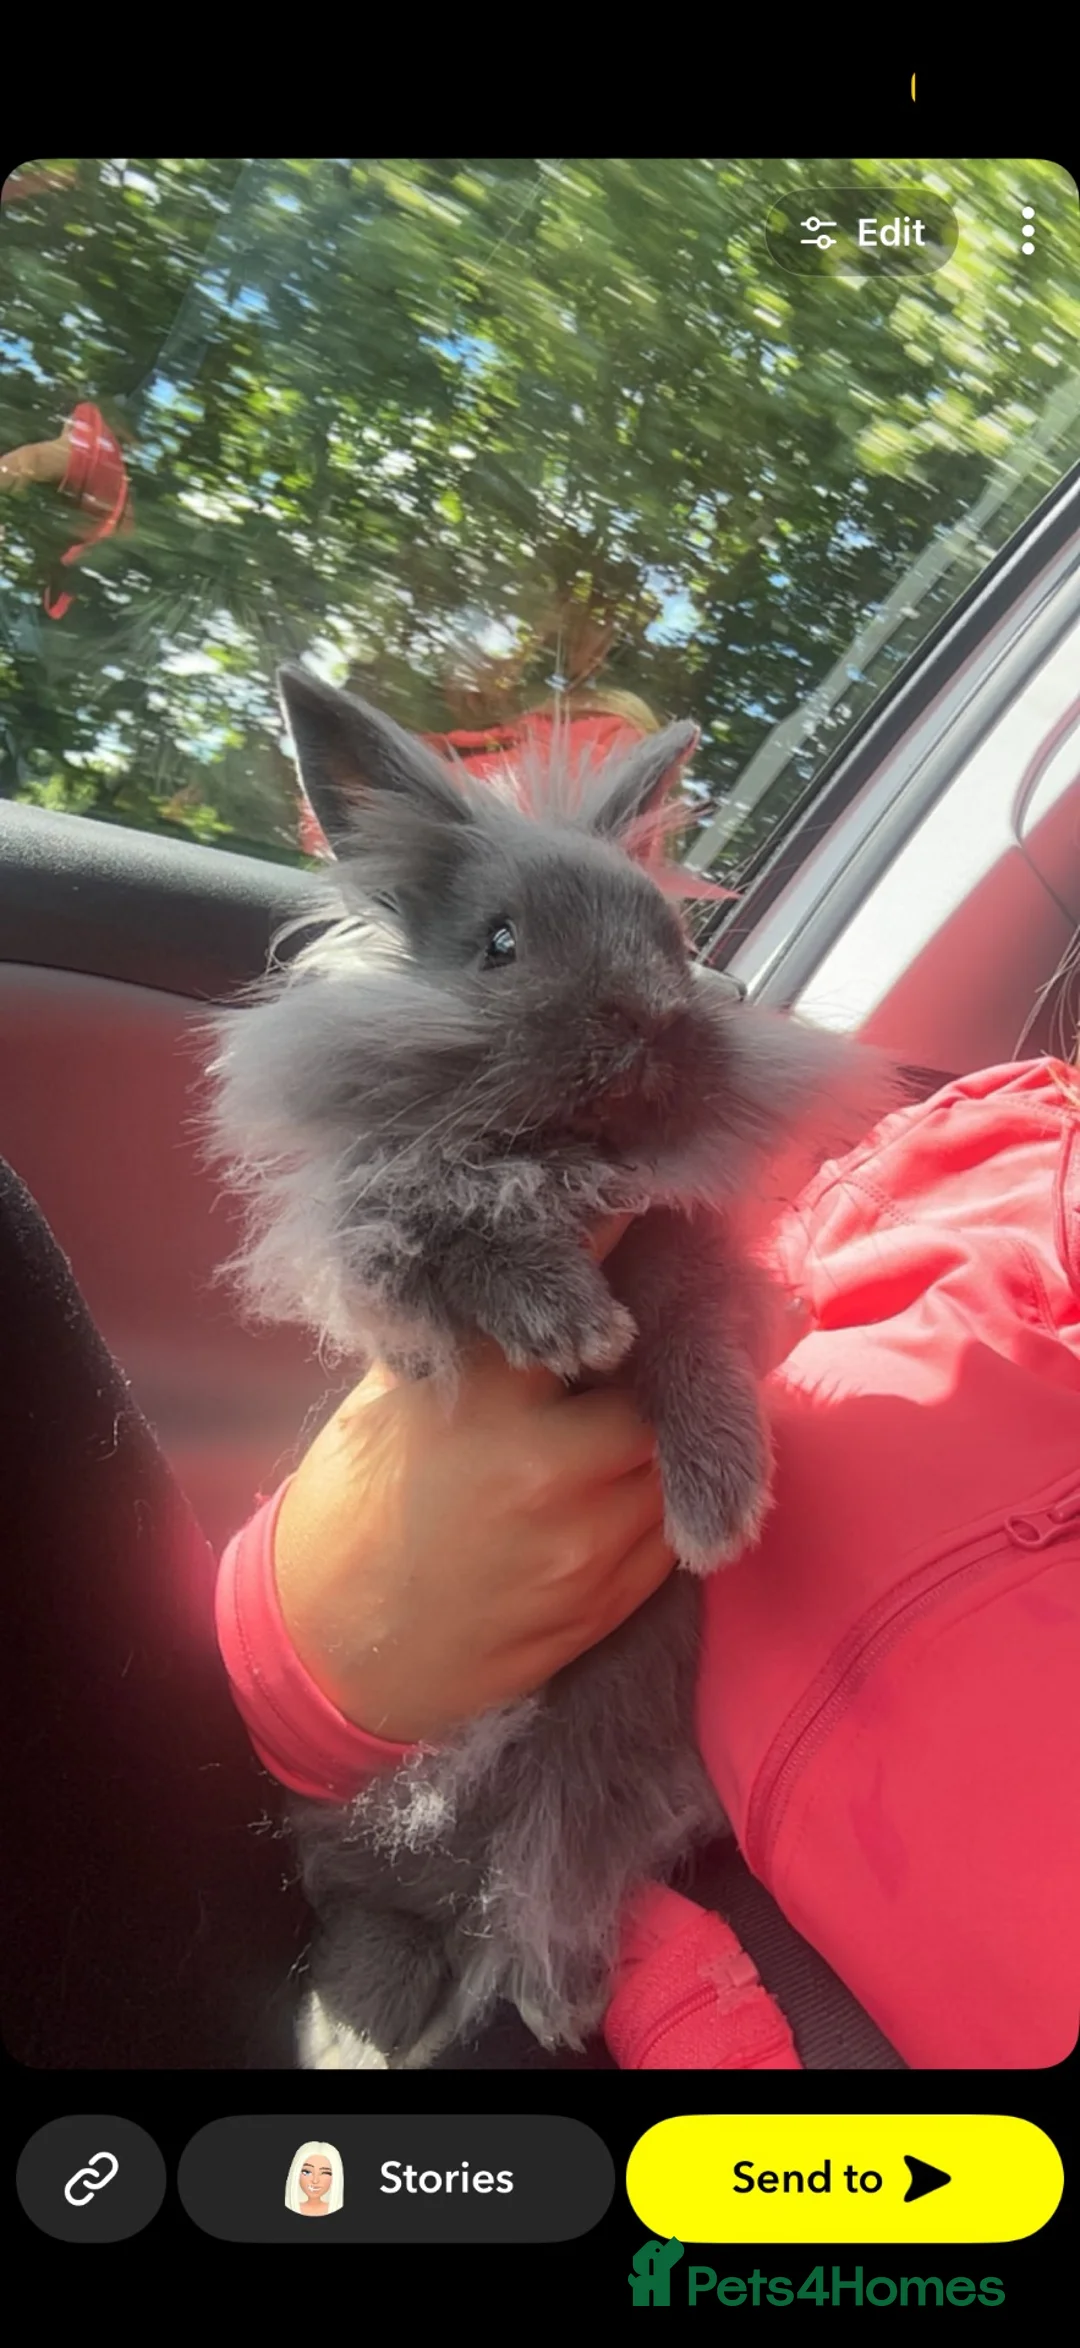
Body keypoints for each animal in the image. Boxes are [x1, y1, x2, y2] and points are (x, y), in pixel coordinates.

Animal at [206, 664, 900, 2069]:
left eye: (673, 940)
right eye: (499, 945)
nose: (650, 1021)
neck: (577, 1157)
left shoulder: (693, 1261)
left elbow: (693, 1349)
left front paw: (718, 1504)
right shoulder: (381, 1234)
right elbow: (457, 1233)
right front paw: (566, 1319)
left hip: (595, 1744)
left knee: (550, 1874)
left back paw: (562, 1989)